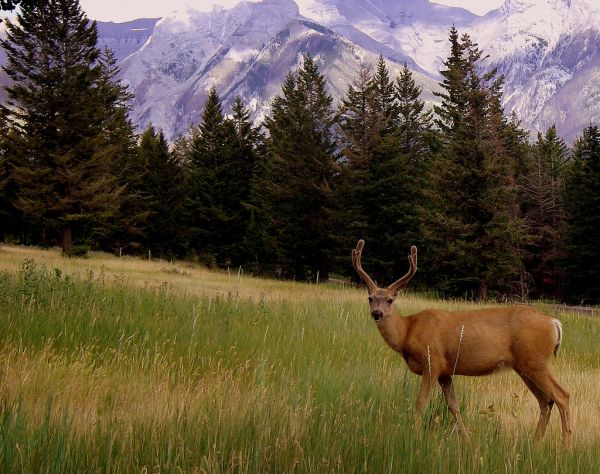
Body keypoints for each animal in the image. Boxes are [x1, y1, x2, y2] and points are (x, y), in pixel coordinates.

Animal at [352, 239, 572, 442]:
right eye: (370, 298)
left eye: (390, 300)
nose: (377, 313)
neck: (407, 331)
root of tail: (554, 323)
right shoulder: (445, 372)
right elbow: (454, 406)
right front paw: (467, 439)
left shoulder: (433, 362)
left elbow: (421, 402)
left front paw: (416, 436)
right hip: (524, 365)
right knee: (546, 401)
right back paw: (535, 443)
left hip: (535, 360)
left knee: (562, 396)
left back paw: (565, 445)